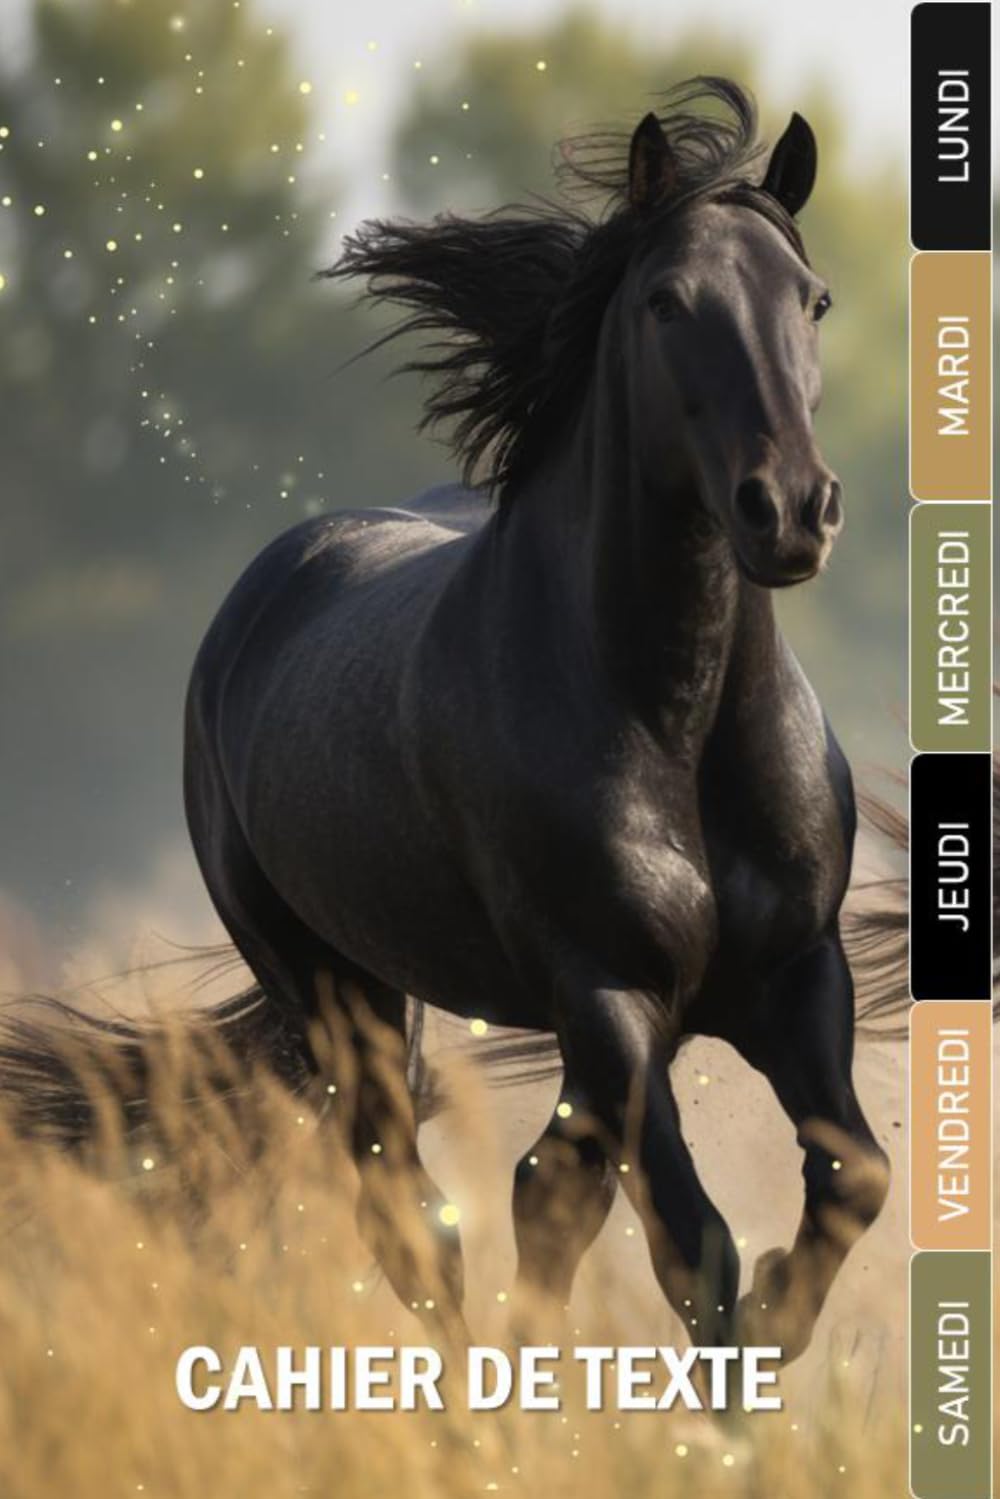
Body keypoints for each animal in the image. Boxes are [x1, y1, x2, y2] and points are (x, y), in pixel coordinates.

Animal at [179, 78, 892, 1360]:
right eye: (667, 302)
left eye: (811, 299)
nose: (790, 511)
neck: (677, 727)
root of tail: (265, 588)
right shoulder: (608, 998)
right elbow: (696, 1247)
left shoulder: (798, 977)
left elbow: (850, 1175)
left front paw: (779, 1310)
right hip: (335, 992)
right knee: (415, 1219)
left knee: (538, 1190)